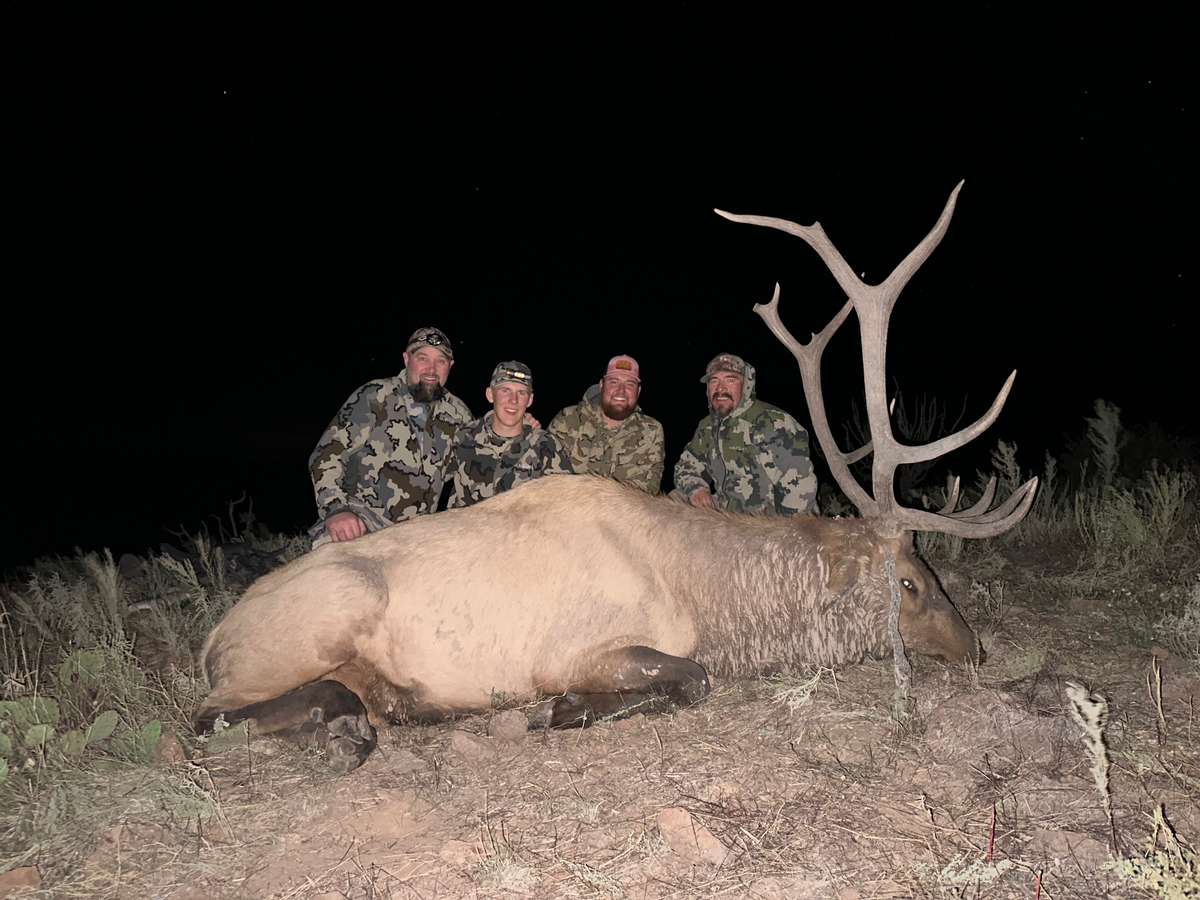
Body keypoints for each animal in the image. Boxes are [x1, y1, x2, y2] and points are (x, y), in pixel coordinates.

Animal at [194, 183, 1032, 777]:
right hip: (319, 616)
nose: (974, 648)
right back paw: (346, 727)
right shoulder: (578, 648)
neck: (713, 599)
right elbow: (690, 679)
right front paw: (561, 711)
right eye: (911, 583)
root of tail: (212, 639)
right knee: (206, 717)